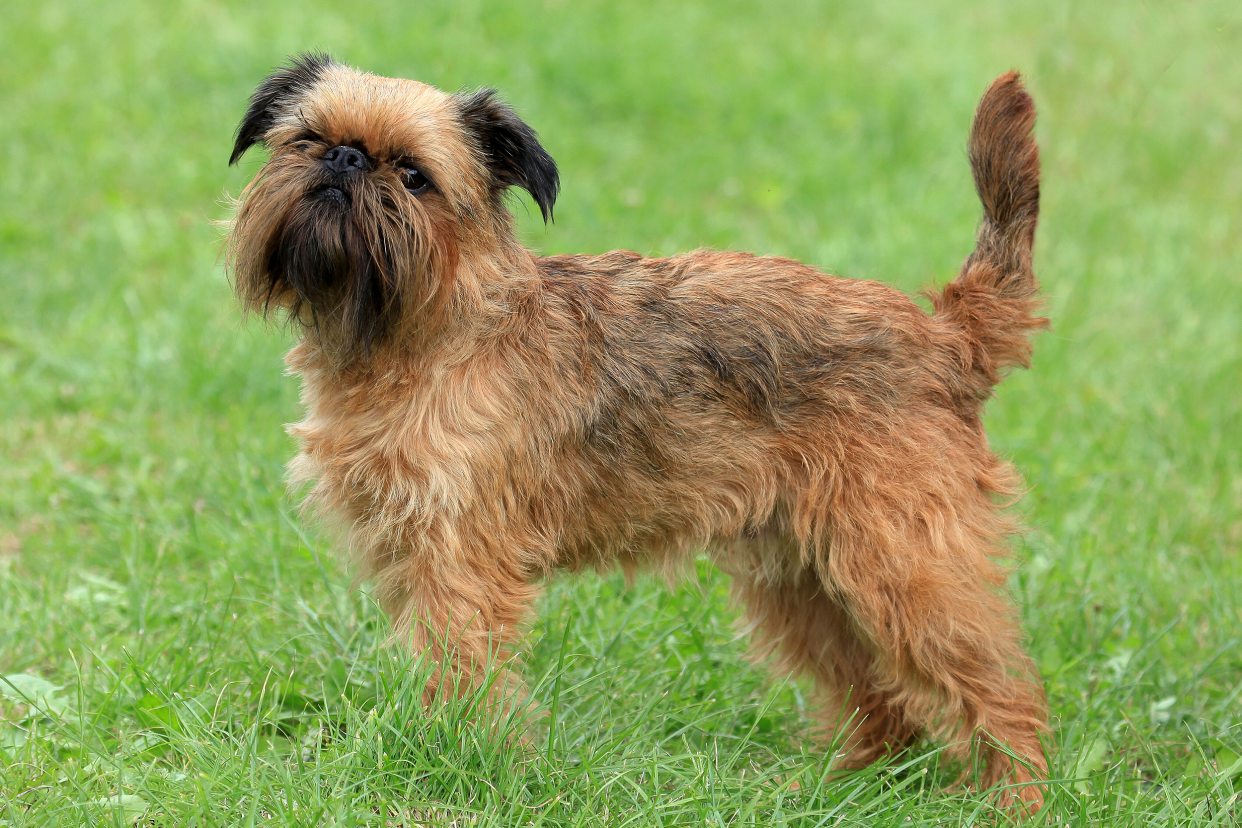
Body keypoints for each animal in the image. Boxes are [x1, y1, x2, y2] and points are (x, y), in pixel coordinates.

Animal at [226, 56, 1048, 809]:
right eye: (306, 139)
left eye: (413, 176)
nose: (344, 159)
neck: (428, 328)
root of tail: (945, 336)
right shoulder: (407, 552)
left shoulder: (457, 560)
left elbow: (457, 667)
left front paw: (453, 765)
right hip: (802, 578)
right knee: (880, 694)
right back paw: (840, 789)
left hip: (905, 567)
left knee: (1001, 689)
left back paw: (1014, 800)